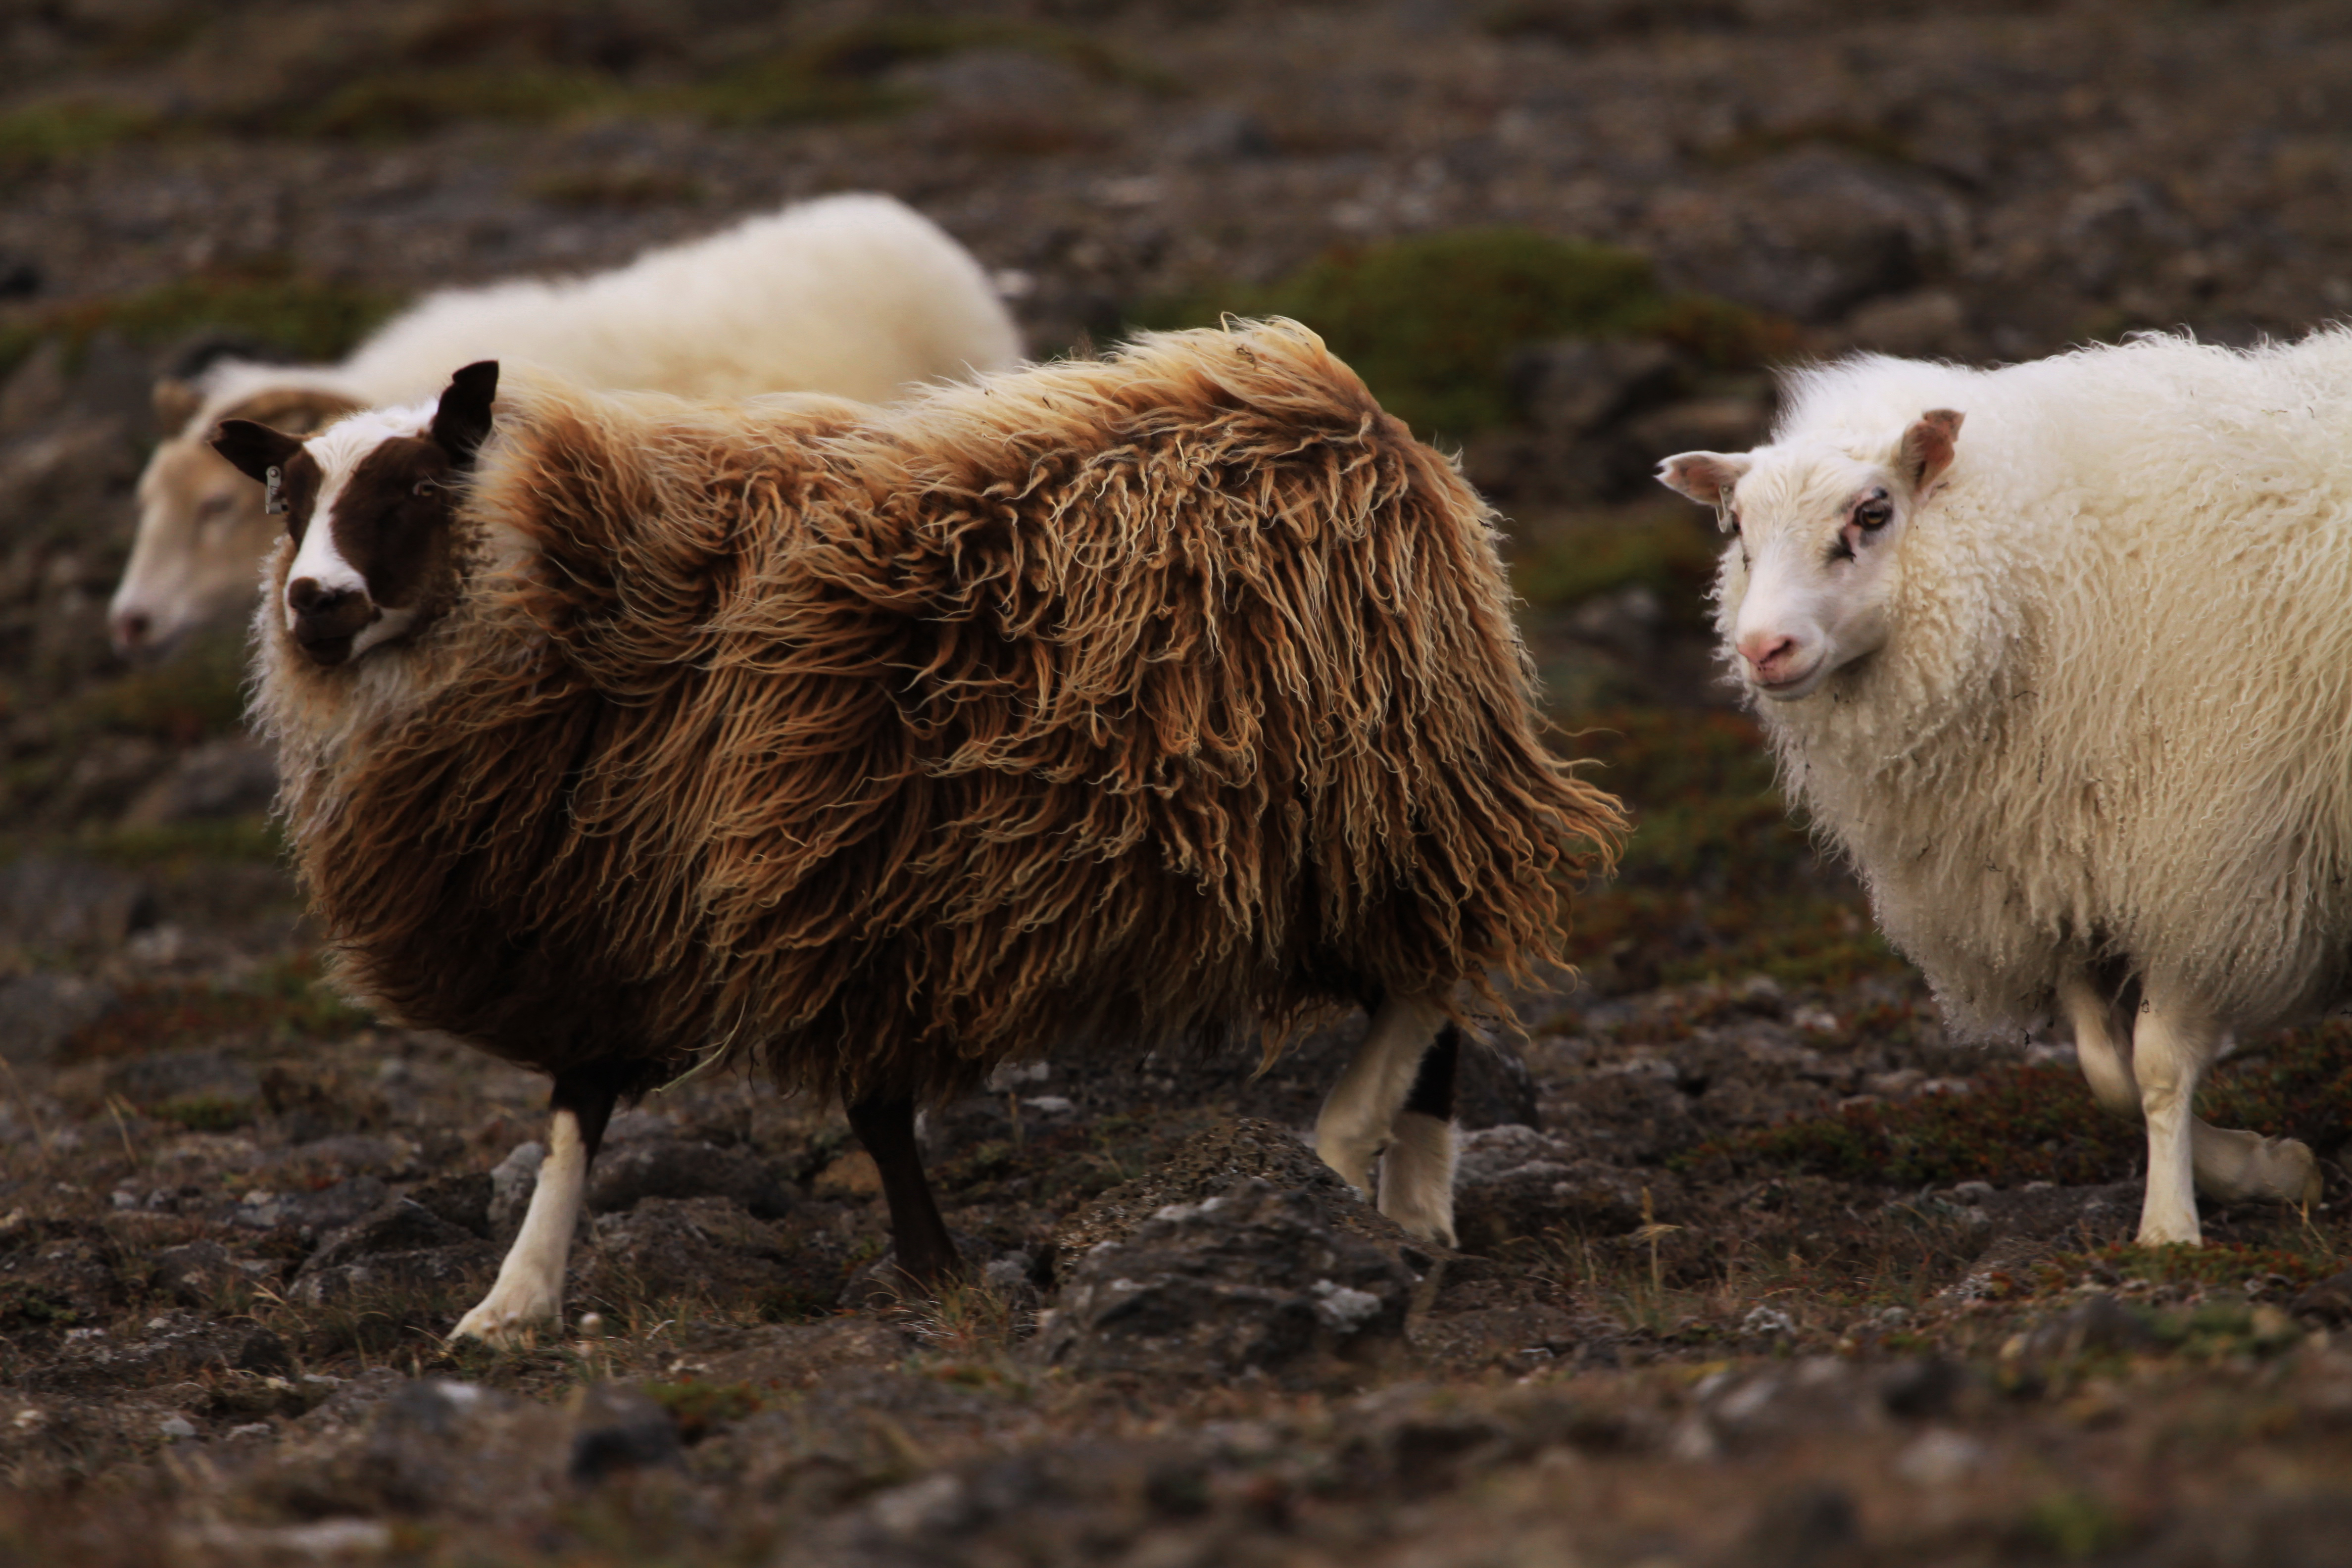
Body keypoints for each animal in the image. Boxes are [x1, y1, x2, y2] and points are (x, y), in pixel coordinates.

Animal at [210, 321, 1625, 1344]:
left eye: (412, 485)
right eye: (286, 500)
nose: (312, 603)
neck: (576, 578)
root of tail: (1365, 426)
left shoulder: (847, 892)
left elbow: (877, 1111)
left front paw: (933, 1267)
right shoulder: (604, 917)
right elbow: (576, 1113)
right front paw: (510, 1305)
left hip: (1370, 800)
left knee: (1426, 983)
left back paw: (1344, 1150)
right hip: (1362, 826)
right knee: (1435, 991)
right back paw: (1415, 1207)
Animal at [1654, 330, 2352, 1247]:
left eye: (1871, 513)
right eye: (1736, 526)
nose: (1762, 648)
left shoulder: (2204, 867)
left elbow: (2158, 1067)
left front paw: (2170, 1227)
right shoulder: (2050, 879)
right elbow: (2104, 1071)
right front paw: (2264, 1166)